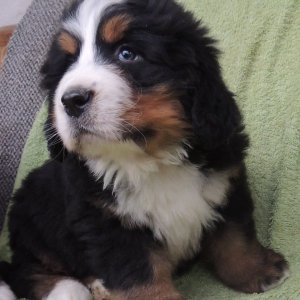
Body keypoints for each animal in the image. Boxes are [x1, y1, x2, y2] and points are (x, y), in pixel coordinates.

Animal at [1, 0, 290, 298]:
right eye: (68, 63)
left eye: (127, 54)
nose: (71, 99)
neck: (151, 158)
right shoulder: (107, 224)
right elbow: (142, 278)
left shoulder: (225, 183)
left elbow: (235, 238)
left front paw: (259, 270)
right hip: (32, 222)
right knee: (28, 271)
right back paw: (76, 288)